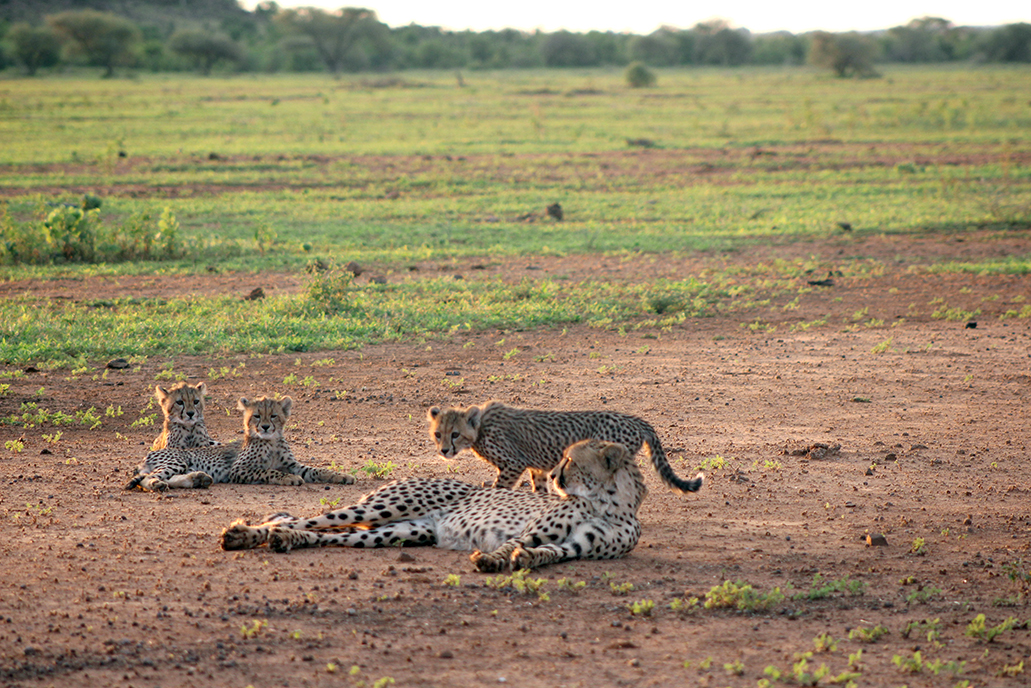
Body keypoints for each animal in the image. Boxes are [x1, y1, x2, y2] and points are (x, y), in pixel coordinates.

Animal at [125, 396, 353, 492]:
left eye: (274, 415)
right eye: (257, 416)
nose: (265, 427)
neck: (270, 441)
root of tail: (149, 454)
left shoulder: (294, 465)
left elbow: (317, 470)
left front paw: (341, 476)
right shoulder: (238, 470)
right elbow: (269, 471)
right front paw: (288, 478)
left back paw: (198, 479)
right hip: (177, 461)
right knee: (149, 478)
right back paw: (158, 484)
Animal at [220, 438, 648, 573]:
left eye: (571, 461)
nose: (555, 476)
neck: (610, 505)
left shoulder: (574, 546)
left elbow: (548, 553)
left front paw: (526, 561)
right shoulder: (534, 529)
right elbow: (512, 544)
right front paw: (492, 561)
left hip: (398, 532)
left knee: (328, 534)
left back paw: (283, 540)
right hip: (384, 508)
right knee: (308, 519)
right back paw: (245, 534)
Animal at [427, 400, 704, 495]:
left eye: (455, 434)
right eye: (438, 434)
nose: (444, 451)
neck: (480, 427)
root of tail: (637, 419)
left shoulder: (513, 464)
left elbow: (500, 487)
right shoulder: (535, 467)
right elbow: (539, 488)